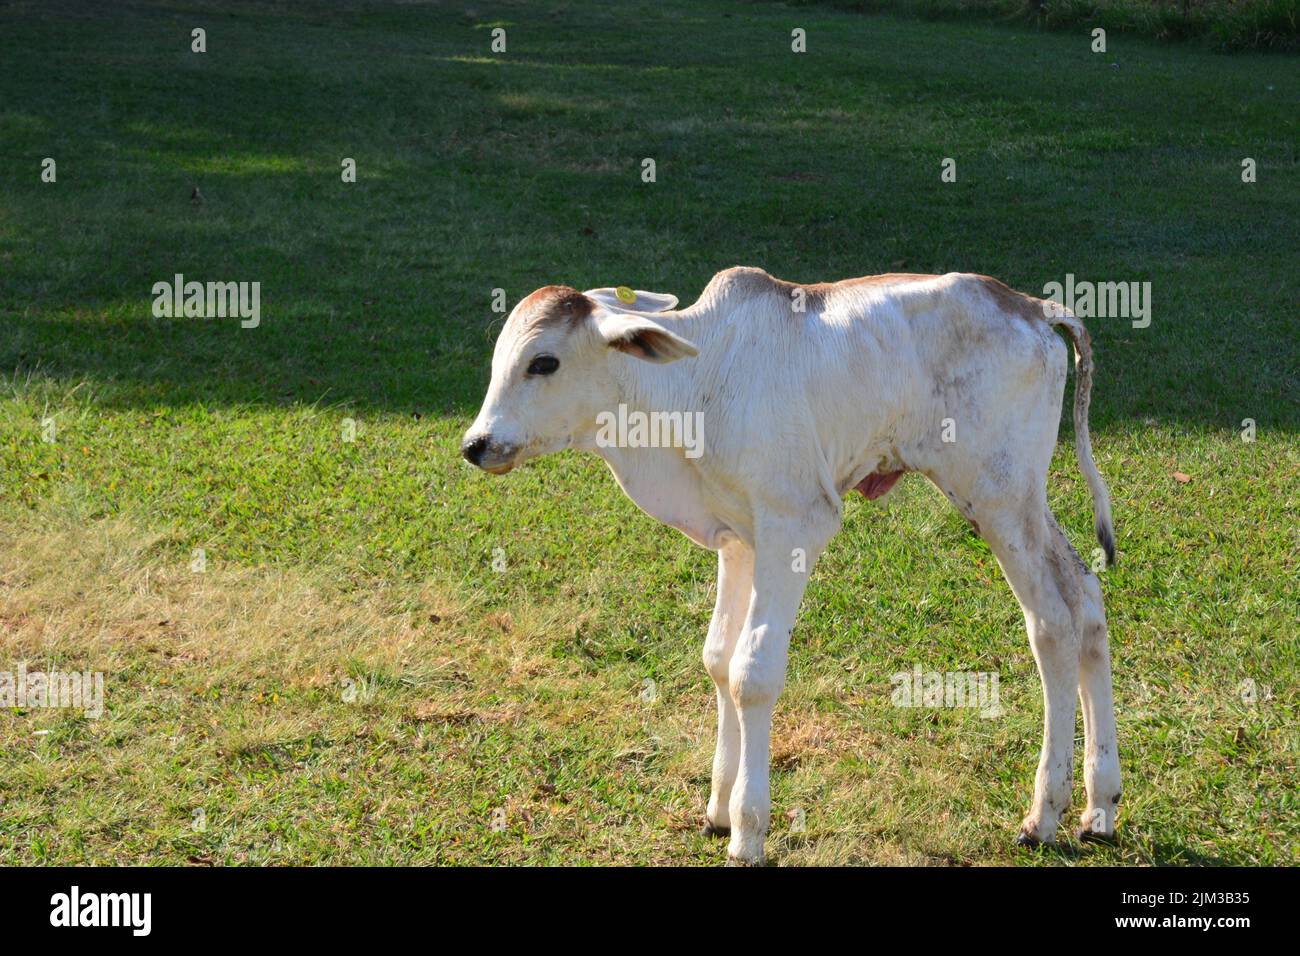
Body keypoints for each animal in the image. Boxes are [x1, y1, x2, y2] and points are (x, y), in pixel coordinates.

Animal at [460, 269, 1118, 868]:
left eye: (543, 363)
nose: (476, 443)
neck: (694, 383)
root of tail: (1032, 306)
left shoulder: (795, 525)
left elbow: (752, 673)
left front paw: (749, 831)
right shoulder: (739, 542)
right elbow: (718, 659)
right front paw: (718, 810)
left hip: (997, 497)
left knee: (1052, 623)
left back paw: (1045, 813)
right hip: (1023, 501)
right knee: (1086, 597)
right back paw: (1100, 806)